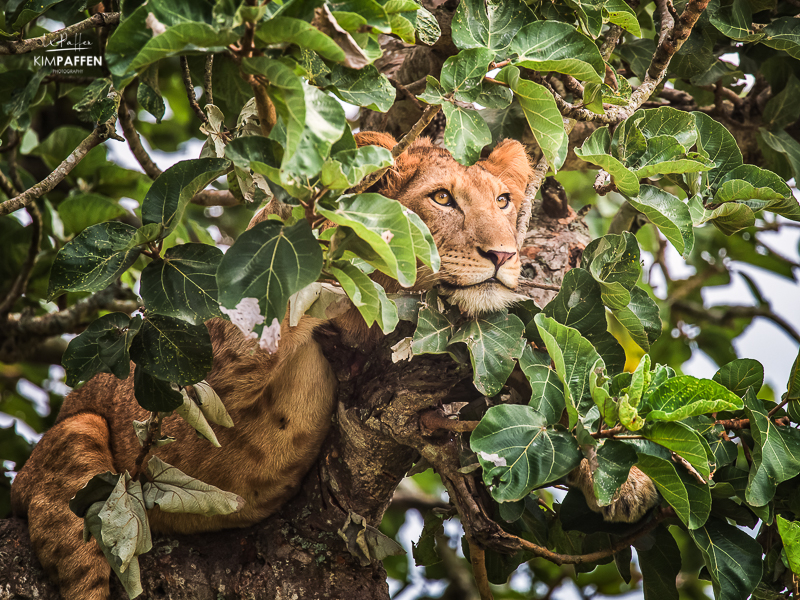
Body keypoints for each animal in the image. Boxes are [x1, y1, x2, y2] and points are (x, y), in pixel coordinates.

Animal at [10, 132, 656, 600]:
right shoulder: (204, 384)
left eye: (502, 201)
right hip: (78, 440)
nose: (503, 255)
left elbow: (529, 397)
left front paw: (626, 480)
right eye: (442, 199)